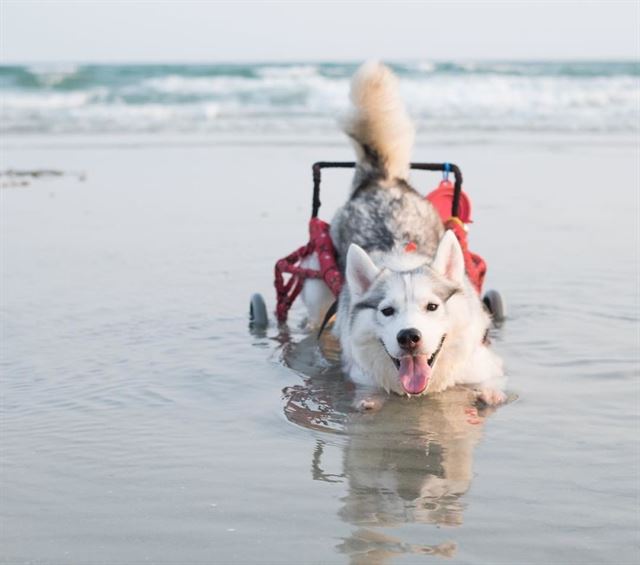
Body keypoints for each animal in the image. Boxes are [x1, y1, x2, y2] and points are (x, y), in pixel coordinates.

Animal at [302, 60, 508, 406]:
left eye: (432, 307)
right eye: (387, 311)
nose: (409, 336)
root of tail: (381, 180)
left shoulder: (482, 360)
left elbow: (491, 379)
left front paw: (491, 393)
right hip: (318, 286)